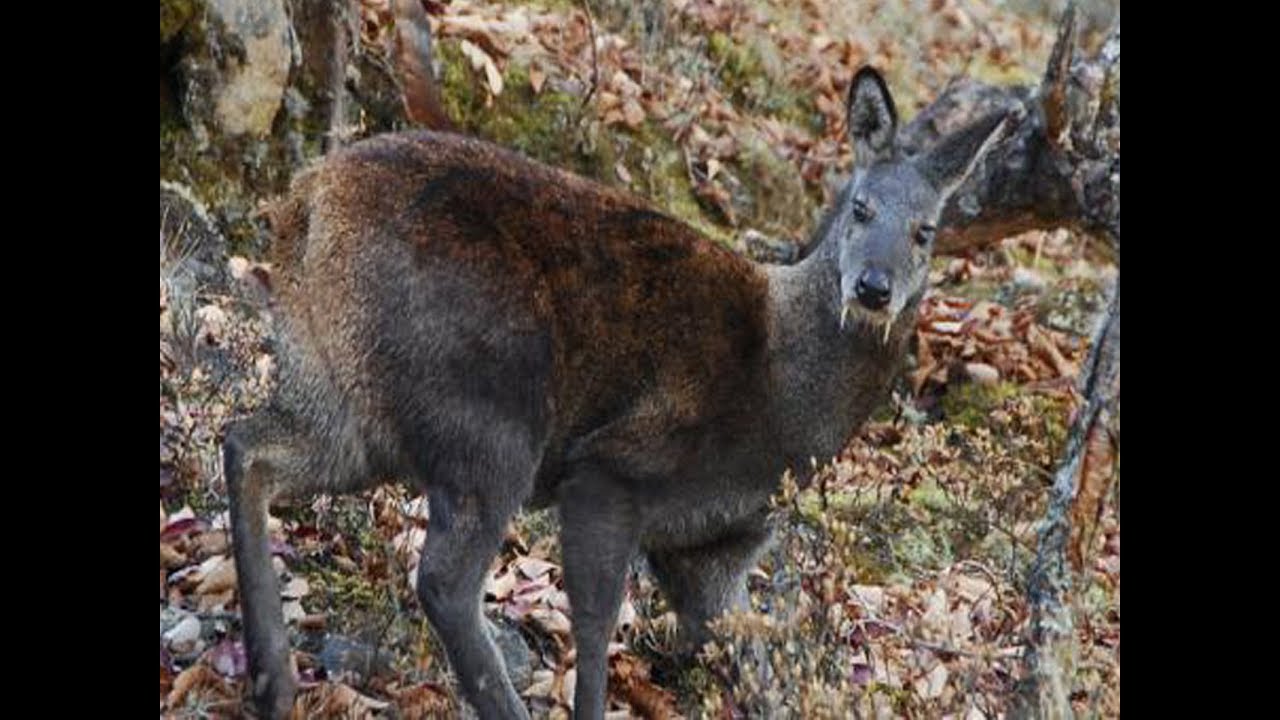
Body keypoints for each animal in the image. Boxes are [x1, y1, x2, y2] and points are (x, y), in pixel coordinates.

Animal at [222, 64, 1018, 712]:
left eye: (926, 231)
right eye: (859, 208)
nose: (874, 288)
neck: (786, 394)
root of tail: (307, 201)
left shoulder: (717, 547)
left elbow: (753, 667)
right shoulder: (613, 468)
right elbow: (597, 630)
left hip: (342, 387)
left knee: (245, 442)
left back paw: (273, 679)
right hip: (491, 406)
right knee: (445, 580)